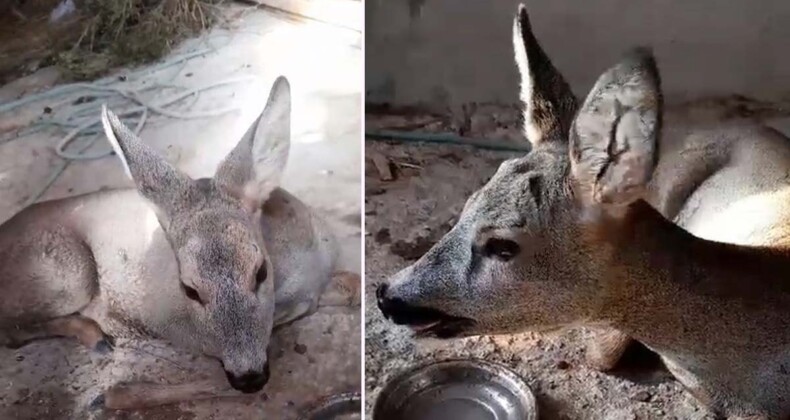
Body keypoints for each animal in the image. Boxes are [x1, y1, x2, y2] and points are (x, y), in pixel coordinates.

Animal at [0, 77, 358, 408]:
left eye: (260, 272)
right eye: (189, 289)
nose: (249, 378)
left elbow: (351, 286)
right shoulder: (189, 333)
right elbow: (215, 381)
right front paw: (113, 396)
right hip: (69, 274)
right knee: (11, 330)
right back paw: (97, 337)